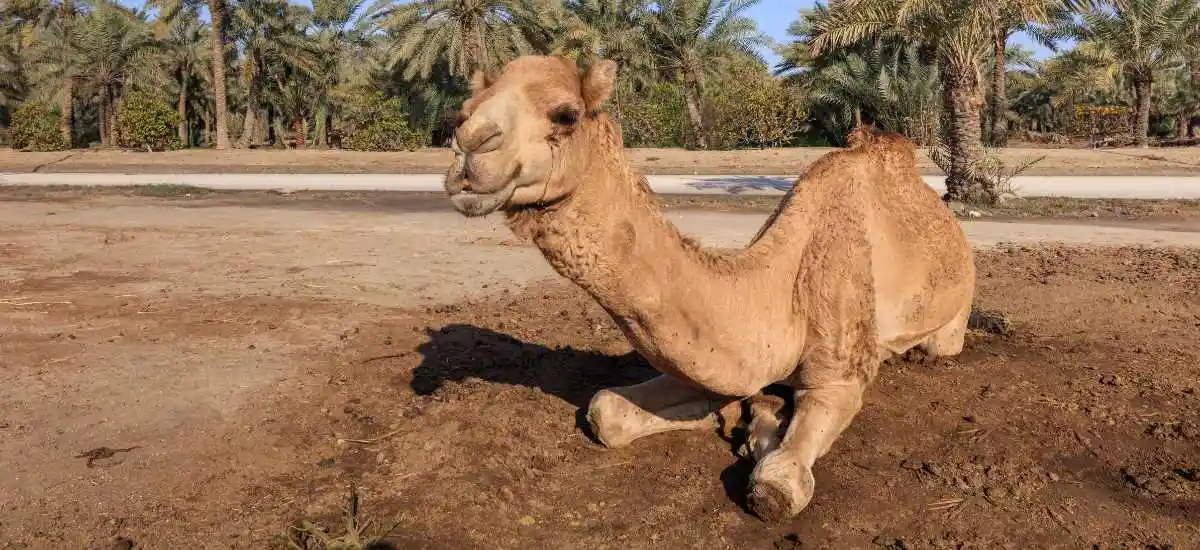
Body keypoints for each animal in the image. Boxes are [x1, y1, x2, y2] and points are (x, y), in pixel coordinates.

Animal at [442, 55, 976, 522]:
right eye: (462, 111)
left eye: (566, 114)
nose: (469, 146)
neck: (775, 291)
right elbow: (606, 410)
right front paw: (740, 417)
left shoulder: (840, 376)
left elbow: (777, 484)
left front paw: (762, 434)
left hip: (952, 319)